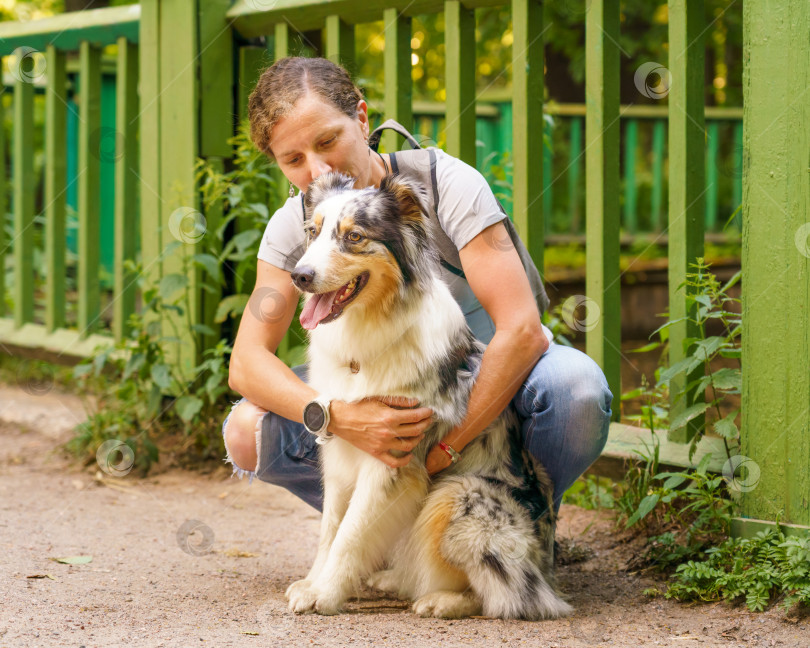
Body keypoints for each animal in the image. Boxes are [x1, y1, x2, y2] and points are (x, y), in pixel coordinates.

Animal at [284, 172, 568, 624]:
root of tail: (547, 571)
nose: (300, 276)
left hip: (457, 495)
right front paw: (313, 583)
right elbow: (330, 527)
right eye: (313, 232)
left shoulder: (391, 459)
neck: (369, 334)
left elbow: (350, 533)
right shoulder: (342, 449)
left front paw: (325, 594)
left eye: (354, 236)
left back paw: (441, 600)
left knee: (510, 597)